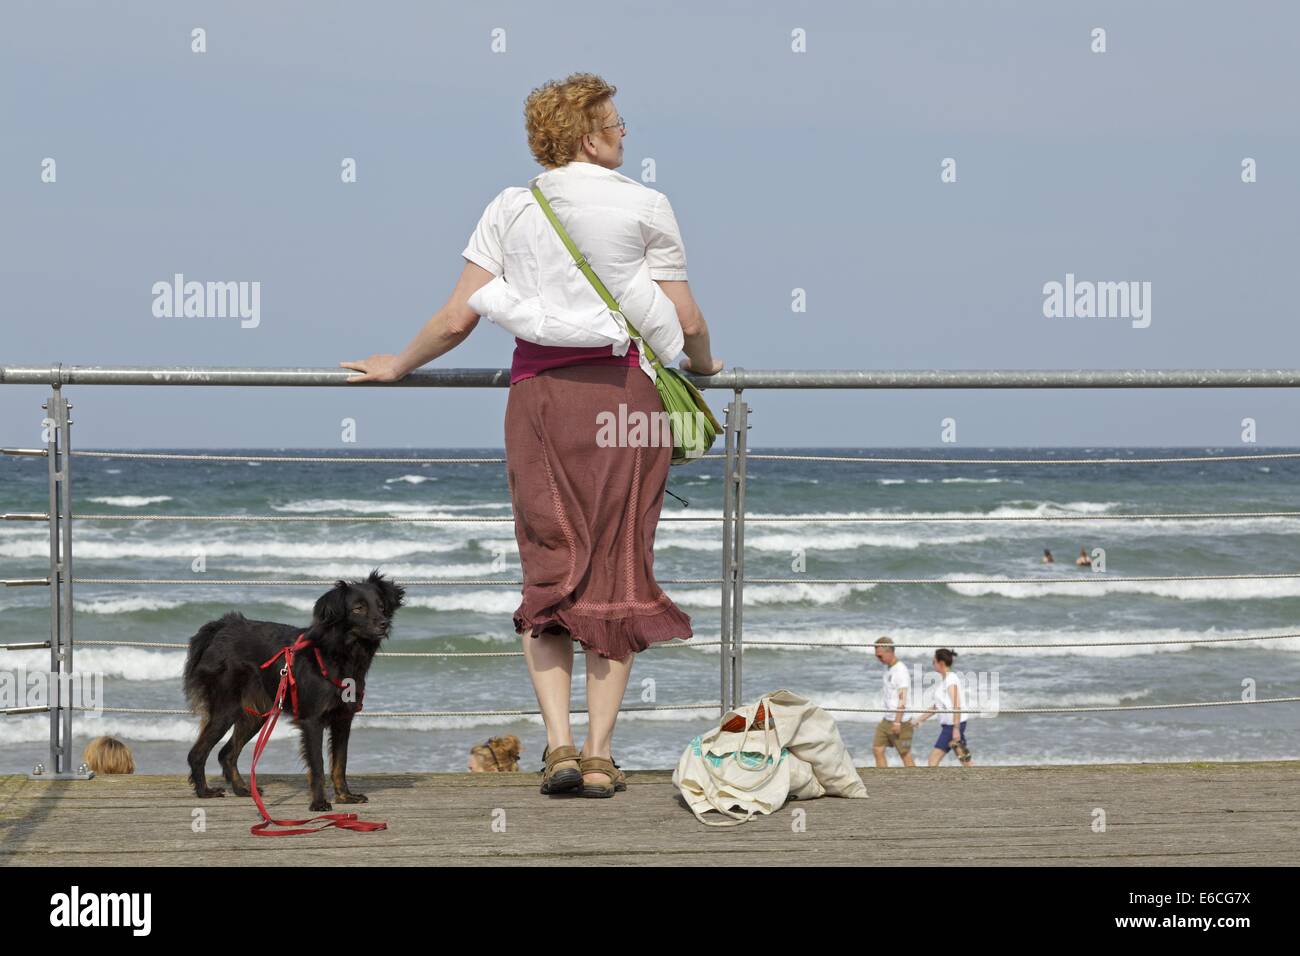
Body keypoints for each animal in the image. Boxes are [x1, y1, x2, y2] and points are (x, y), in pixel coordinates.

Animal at [183, 572, 403, 811]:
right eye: (358, 608)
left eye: (381, 606)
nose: (384, 623)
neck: (340, 653)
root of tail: (221, 627)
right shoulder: (312, 721)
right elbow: (318, 765)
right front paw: (319, 802)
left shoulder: (343, 719)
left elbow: (340, 763)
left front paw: (345, 796)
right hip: (226, 709)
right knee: (197, 753)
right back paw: (204, 792)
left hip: (255, 714)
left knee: (226, 753)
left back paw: (242, 789)